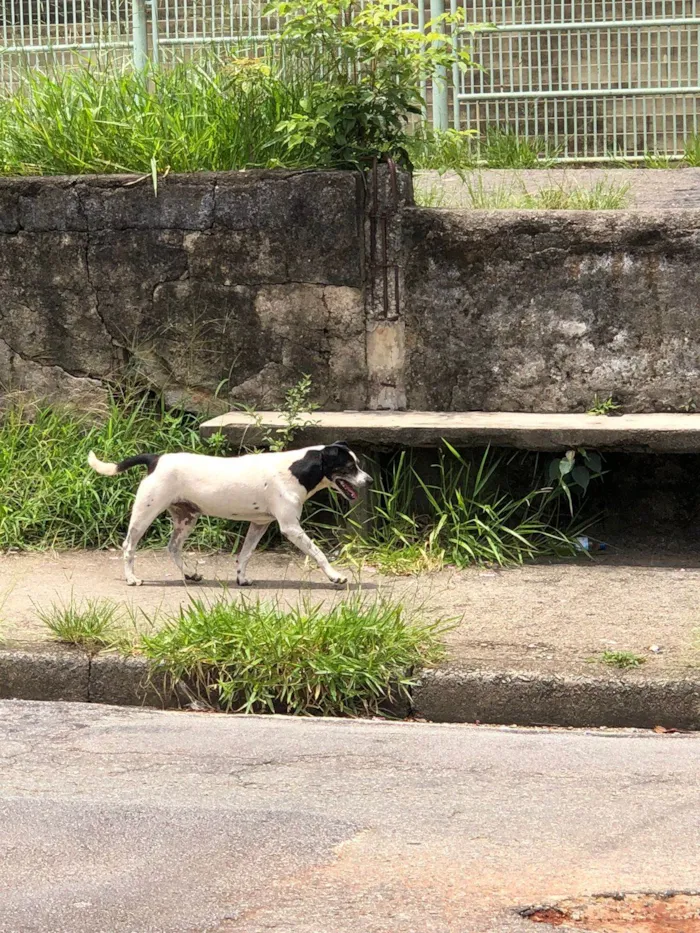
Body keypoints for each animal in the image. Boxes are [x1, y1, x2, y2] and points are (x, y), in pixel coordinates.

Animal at [89, 442, 372, 588]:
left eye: (357, 464)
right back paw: (131, 578)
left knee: (173, 547)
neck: (294, 470)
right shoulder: (290, 527)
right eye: (350, 466)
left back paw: (190, 574)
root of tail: (156, 459)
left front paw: (241, 578)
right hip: (145, 514)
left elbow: (245, 554)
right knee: (128, 546)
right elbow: (318, 553)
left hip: (186, 518)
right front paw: (335, 576)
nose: (369, 480)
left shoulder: (259, 524)